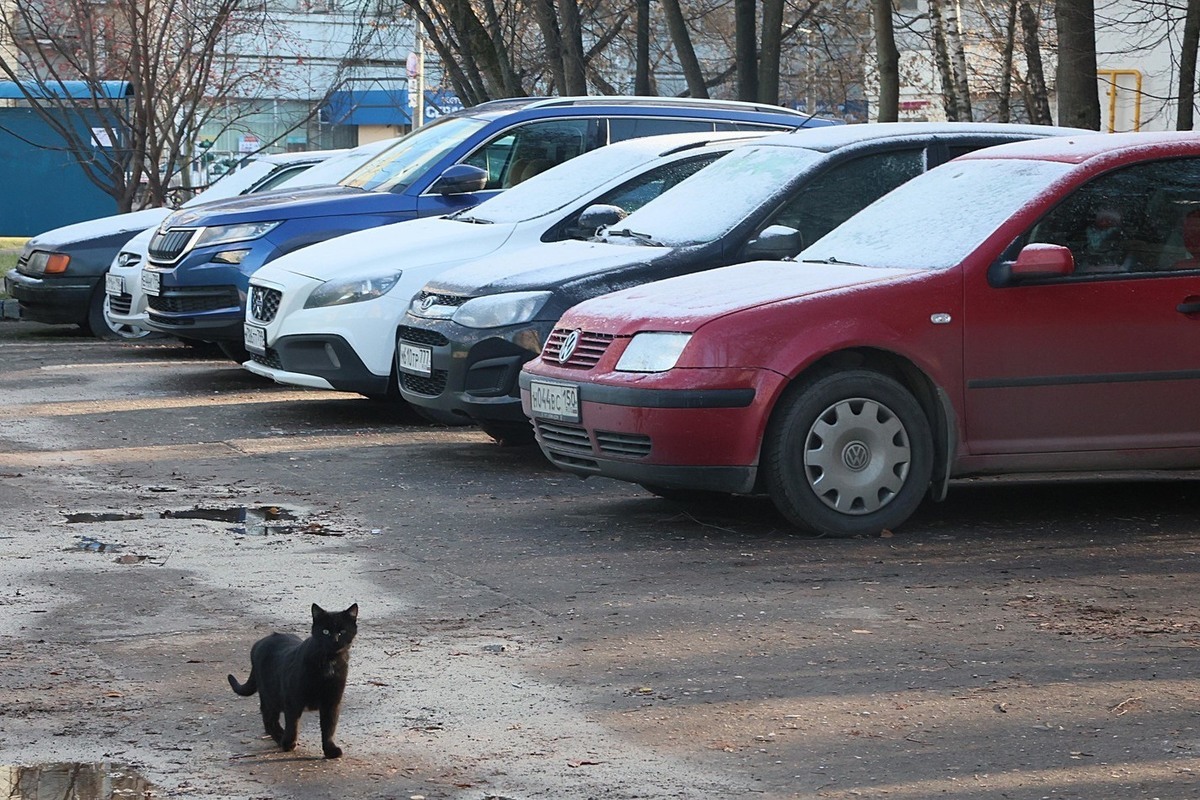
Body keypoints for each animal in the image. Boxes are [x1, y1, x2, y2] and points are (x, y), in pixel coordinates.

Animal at [225, 604, 355, 762]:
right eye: (325, 631)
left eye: (342, 632)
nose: (335, 640)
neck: (329, 662)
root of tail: (259, 643)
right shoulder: (293, 699)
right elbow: (293, 724)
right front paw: (289, 743)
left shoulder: (332, 701)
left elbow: (329, 727)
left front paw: (330, 750)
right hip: (270, 695)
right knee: (268, 717)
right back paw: (281, 737)